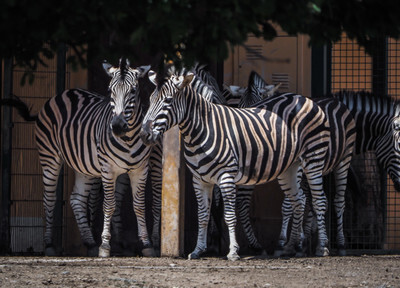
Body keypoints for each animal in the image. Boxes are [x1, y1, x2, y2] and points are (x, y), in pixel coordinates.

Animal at [2, 58, 156, 256]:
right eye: (110, 91)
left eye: (133, 91)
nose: (117, 126)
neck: (128, 139)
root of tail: (63, 93)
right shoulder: (107, 169)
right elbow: (109, 205)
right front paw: (105, 246)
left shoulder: (140, 169)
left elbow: (139, 206)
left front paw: (146, 245)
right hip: (49, 157)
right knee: (49, 199)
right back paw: (50, 245)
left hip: (84, 165)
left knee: (76, 199)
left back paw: (90, 243)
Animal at [141, 68, 332, 260]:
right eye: (150, 100)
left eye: (168, 101)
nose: (144, 134)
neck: (202, 129)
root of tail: (303, 98)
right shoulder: (200, 179)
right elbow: (203, 215)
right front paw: (198, 250)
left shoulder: (226, 176)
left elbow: (230, 215)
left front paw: (232, 251)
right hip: (290, 169)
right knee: (299, 200)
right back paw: (292, 246)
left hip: (313, 159)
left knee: (319, 200)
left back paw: (321, 247)